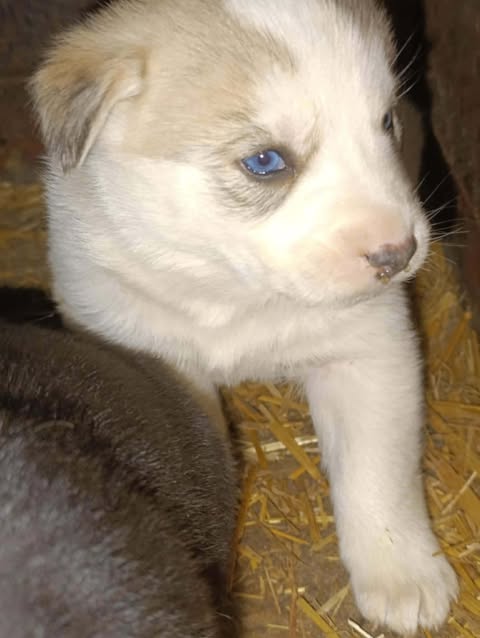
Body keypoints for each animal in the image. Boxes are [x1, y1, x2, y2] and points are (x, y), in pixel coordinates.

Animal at [31, 0, 458, 633]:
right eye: (265, 161)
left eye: (385, 123)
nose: (398, 254)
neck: (233, 295)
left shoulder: (371, 351)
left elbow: (378, 473)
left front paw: (403, 574)